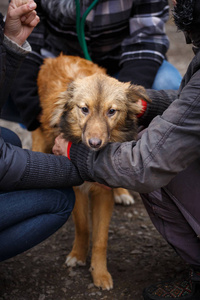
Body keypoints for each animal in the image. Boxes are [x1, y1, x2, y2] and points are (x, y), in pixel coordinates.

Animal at [31, 54, 150, 290]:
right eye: (84, 109)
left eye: (111, 111)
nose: (94, 143)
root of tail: (57, 57)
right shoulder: (77, 189)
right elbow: (83, 226)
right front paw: (78, 255)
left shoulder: (103, 192)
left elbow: (101, 239)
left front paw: (100, 273)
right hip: (39, 139)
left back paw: (122, 192)